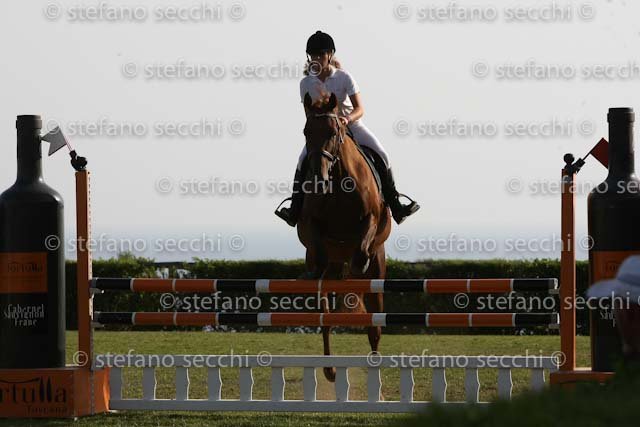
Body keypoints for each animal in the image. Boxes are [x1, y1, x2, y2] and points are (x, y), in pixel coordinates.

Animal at [296, 92, 392, 382]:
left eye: (333, 131)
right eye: (306, 132)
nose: (318, 178)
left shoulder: (371, 217)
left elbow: (362, 247)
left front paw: (358, 265)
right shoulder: (310, 224)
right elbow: (317, 247)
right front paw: (315, 269)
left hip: (378, 271)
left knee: (374, 326)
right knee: (326, 320)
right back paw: (329, 370)